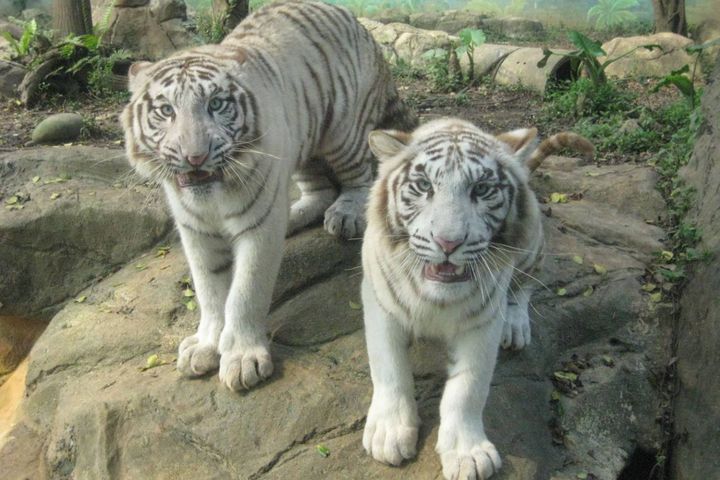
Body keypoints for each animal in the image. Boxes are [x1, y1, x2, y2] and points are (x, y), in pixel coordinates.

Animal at [121, 0, 416, 390]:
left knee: (359, 178)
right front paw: (205, 346)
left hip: (341, 132)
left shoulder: (257, 229)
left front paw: (242, 359)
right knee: (319, 191)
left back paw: (345, 215)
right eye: (166, 110)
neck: (211, 198)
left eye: (216, 104)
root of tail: (357, 23)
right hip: (302, 147)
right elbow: (208, 290)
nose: (194, 157)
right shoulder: (195, 230)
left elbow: (245, 292)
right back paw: (293, 215)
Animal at [362, 117, 592, 480]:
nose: (448, 242)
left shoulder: (482, 321)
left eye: (481, 189)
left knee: (526, 286)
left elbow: (468, 388)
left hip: (531, 244)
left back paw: (516, 327)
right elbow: (388, 368)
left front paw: (467, 454)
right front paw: (389, 434)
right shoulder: (379, 302)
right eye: (424, 186)